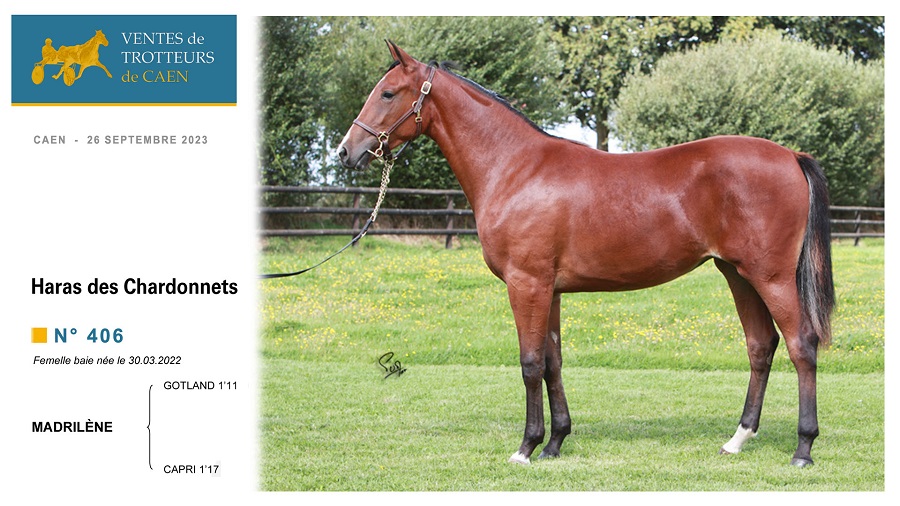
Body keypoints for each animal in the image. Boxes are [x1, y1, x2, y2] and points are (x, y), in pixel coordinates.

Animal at [338, 41, 834, 468]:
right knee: (761, 345)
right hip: (737, 273)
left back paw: (803, 448)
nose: (346, 152)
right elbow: (553, 362)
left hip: (770, 277)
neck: (515, 168)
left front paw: (526, 447)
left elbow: (530, 364)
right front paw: (555, 441)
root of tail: (791, 155)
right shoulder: (550, 289)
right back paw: (737, 439)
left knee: (801, 345)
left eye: (387, 93)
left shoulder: (527, 284)